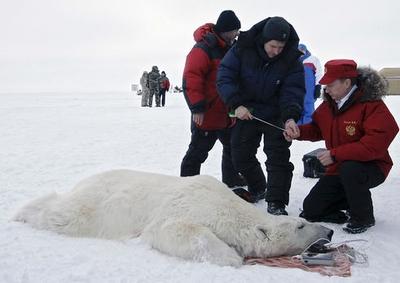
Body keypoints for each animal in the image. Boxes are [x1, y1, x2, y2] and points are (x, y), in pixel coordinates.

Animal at [12, 170, 332, 268]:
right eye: (301, 225)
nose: (329, 232)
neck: (228, 206)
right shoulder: (187, 206)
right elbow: (171, 230)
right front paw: (231, 257)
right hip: (97, 207)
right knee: (63, 215)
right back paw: (22, 212)